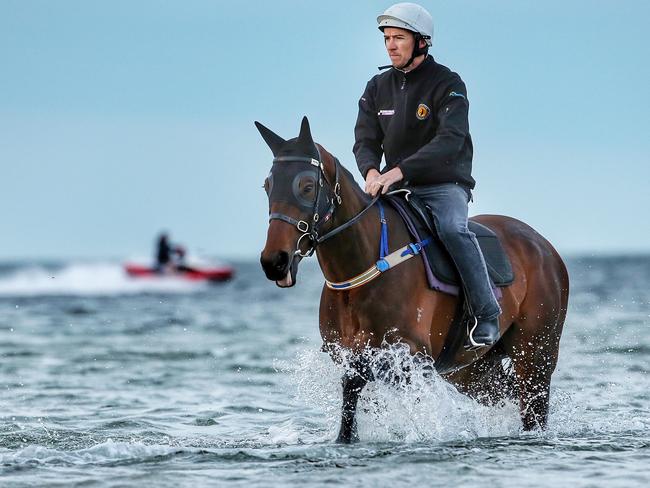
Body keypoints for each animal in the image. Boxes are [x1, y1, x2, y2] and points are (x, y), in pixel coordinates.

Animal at [254, 117, 568, 442]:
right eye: (267, 185)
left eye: (306, 186)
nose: (275, 261)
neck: (363, 268)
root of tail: (544, 246)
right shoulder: (349, 359)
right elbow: (349, 406)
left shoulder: (409, 357)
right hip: (472, 373)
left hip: (535, 355)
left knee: (533, 409)